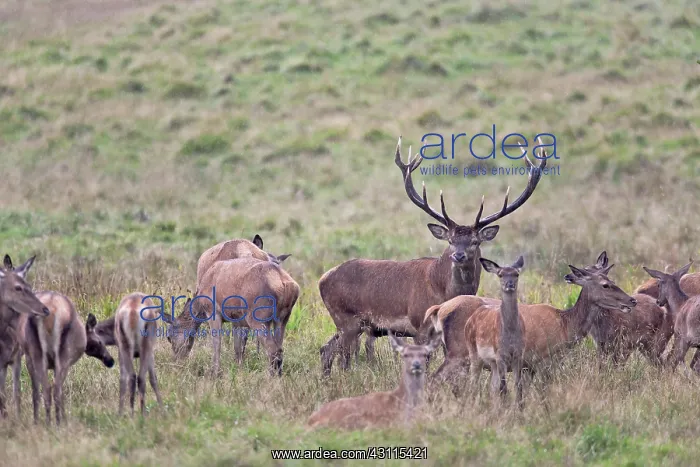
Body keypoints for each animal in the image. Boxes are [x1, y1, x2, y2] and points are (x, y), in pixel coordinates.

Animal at [0, 254, 50, 418]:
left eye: (28, 284)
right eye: (18, 287)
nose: (45, 309)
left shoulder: (14, 358)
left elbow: (16, 392)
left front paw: (16, 418)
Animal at [13, 289, 115, 425]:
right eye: (98, 342)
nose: (110, 361)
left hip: (38, 352)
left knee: (48, 388)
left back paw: (50, 423)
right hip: (62, 355)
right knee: (56, 389)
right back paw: (58, 422)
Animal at [164, 256, 300, 376]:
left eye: (169, 337)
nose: (176, 362)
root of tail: (286, 284)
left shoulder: (213, 312)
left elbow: (217, 343)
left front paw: (215, 373)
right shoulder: (236, 319)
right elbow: (237, 347)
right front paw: (238, 369)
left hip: (258, 317)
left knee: (273, 349)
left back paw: (270, 378)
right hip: (283, 318)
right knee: (279, 347)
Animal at [318, 135, 547, 376]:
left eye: (475, 241)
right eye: (450, 241)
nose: (458, 256)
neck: (443, 290)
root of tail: (322, 279)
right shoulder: (418, 324)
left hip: (350, 324)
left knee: (326, 349)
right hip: (346, 319)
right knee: (342, 356)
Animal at [464, 256, 526, 408]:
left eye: (516, 274)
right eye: (500, 274)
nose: (510, 284)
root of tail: (470, 319)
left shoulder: (519, 354)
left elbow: (518, 386)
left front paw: (520, 408)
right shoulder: (500, 354)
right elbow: (503, 388)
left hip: (491, 362)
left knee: (492, 386)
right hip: (474, 353)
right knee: (473, 383)